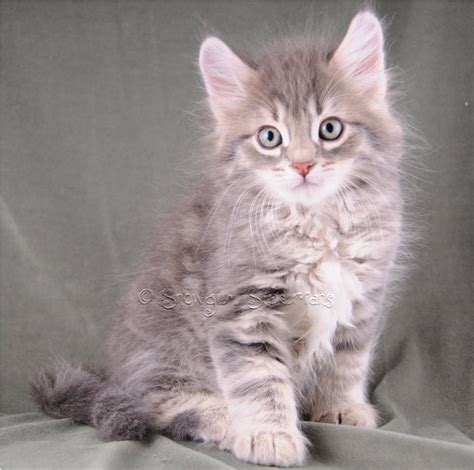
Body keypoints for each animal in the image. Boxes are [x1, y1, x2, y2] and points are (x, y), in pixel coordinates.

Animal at [32, 10, 404, 466]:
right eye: (269, 137)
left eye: (329, 129)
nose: (302, 165)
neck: (314, 225)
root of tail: (115, 371)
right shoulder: (242, 306)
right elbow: (259, 379)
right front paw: (269, 435)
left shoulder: (364, 296)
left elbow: (348, 361)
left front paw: (342, 407)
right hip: (165, 355)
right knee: (161, 405)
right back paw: (228, 422)